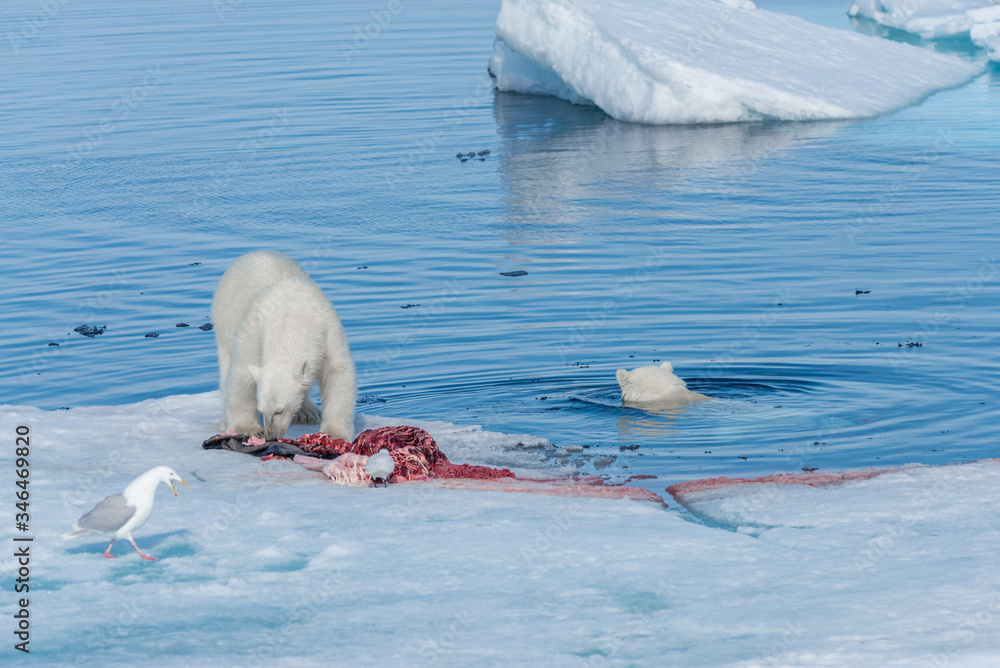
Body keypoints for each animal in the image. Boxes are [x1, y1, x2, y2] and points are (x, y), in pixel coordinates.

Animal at [211, 250, 356, 441]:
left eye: (280, 410)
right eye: (261, 410)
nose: (271, 437)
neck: (291, 319)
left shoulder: (328, 331)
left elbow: (336, 373)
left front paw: (334, 433)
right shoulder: (255, 333)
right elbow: (242, 374)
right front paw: (248, 428)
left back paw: (307, 412)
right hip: (225, 319)